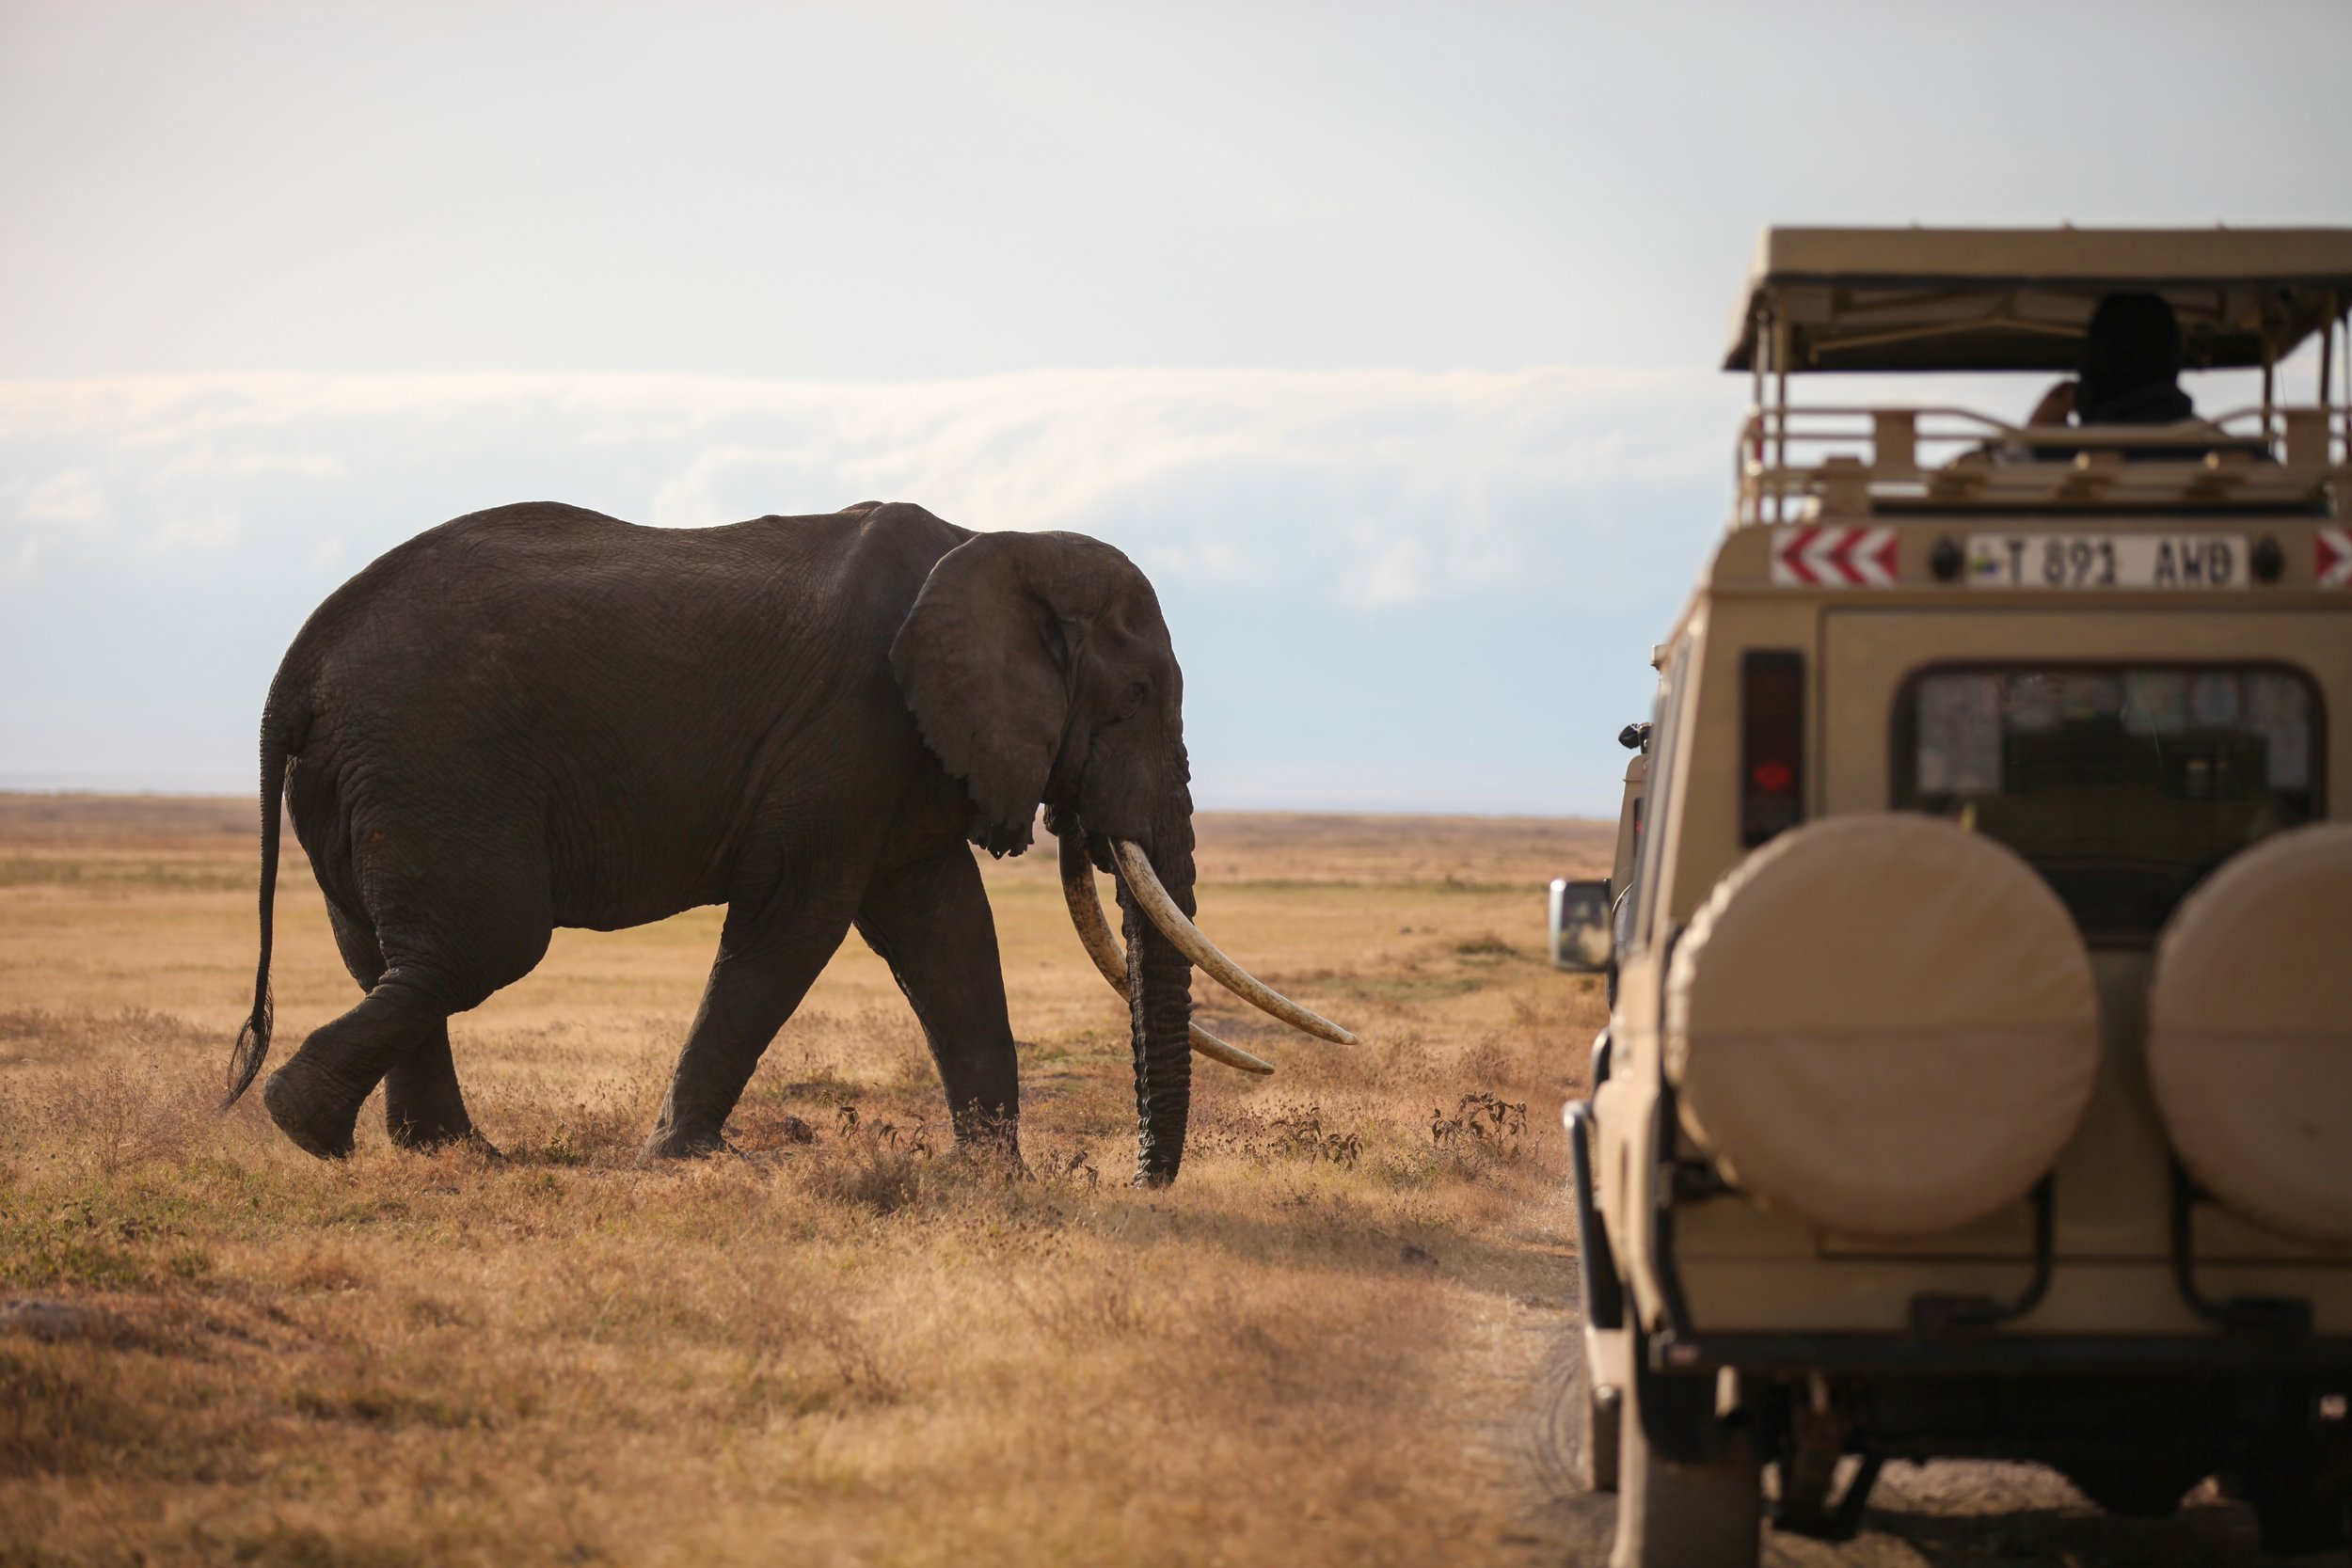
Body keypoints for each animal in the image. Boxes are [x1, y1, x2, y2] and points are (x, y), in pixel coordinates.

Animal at [222, 500, 1351, 1184]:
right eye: (1136, 702)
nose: (1142, 1179)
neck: (994, 540)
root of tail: (295, 665)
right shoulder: (850, 728)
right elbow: (797, 919)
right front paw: (683, 1161)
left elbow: (948, 934)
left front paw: (1001, 1182)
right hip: (434, 756)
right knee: (480, 946)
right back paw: (310, 1125)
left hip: (369, 774)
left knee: (389, 951)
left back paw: (434, 1154)